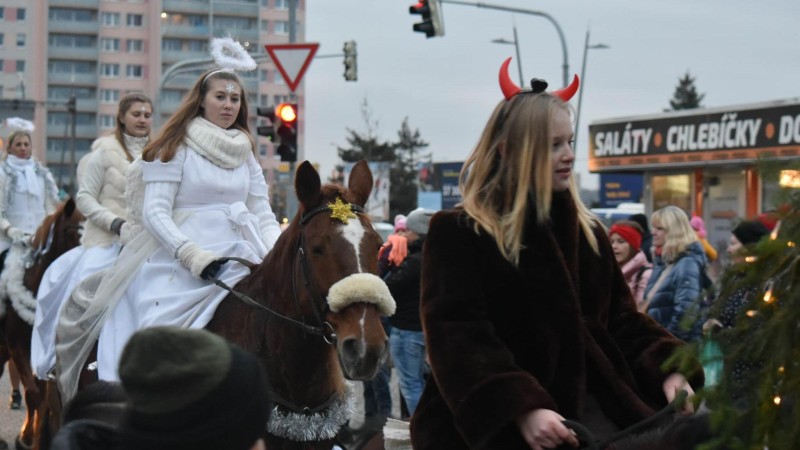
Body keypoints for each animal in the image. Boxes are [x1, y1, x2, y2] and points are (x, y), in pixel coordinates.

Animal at [0, 200, 83, 450]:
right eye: (70, 233)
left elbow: (45, 398)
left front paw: (35, 434)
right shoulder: (19, 348)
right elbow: (34, 394)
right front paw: (26, 438)